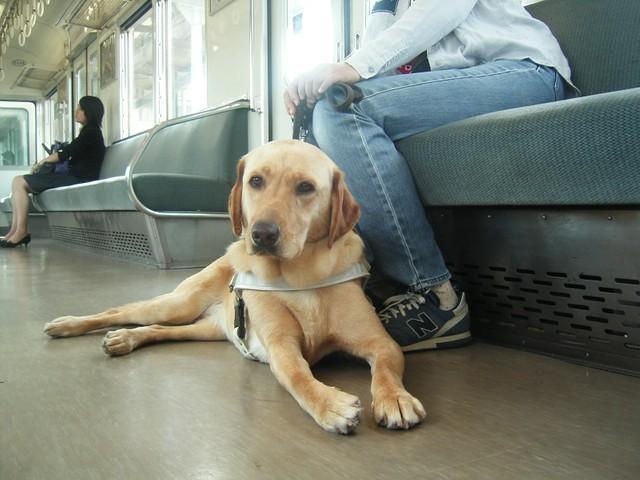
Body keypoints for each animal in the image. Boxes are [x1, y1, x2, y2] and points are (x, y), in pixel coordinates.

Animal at [45, 140, 424, 436]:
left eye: (305, 187)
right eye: (256, 181)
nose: (262, 233)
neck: (300, 279)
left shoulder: (380, 342)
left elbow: (386, 369)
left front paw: (395, 398)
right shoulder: (281, 346)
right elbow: (298, 376)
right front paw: (330, 404)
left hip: (205, 329)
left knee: (156, 329)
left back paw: (125, 338)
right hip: (178, 305)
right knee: (120, 310)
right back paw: (69, 324)